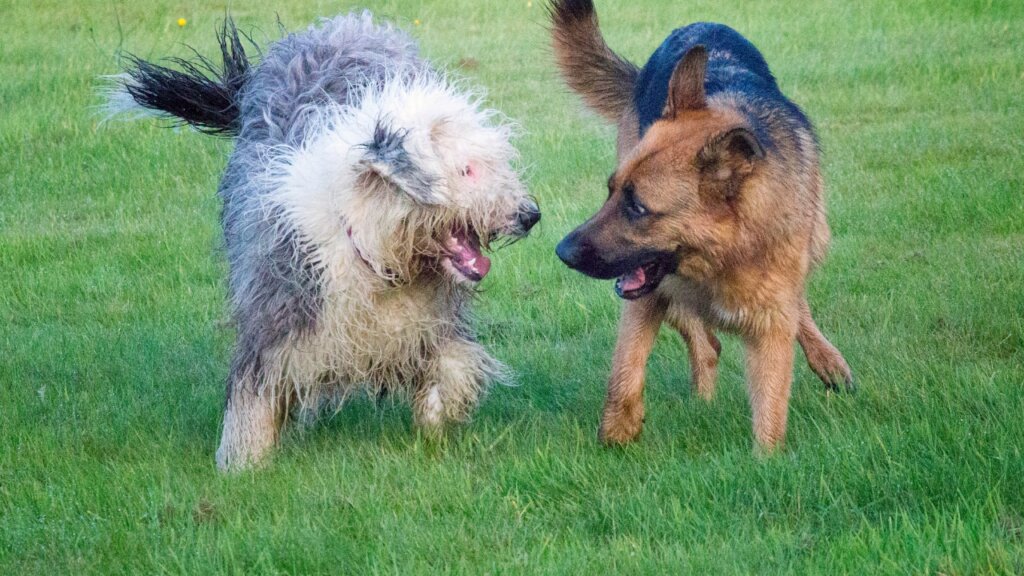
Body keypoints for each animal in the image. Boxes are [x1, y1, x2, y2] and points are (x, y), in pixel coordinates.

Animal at [107, 13, 540, 469]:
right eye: (467, 170)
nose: (530, 215)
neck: (374, 254)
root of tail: (344, 25)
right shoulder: (277, 315)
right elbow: (252, 397)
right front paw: (240, 466)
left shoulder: (432, 323)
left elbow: (452, 367)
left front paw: (439, 419)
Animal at [548, 0, 851, 448]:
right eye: (611, 191)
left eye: (637, 207)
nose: (561, 252)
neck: (724, 255)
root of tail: (696, 25)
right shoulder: (647, 299)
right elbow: (625, 373)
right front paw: (616, 437)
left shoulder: (770, 330)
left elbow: (771, 414)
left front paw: (767, 460)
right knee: (707, 345)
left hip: (815, 240)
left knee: (793, 307)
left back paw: (828, 359)